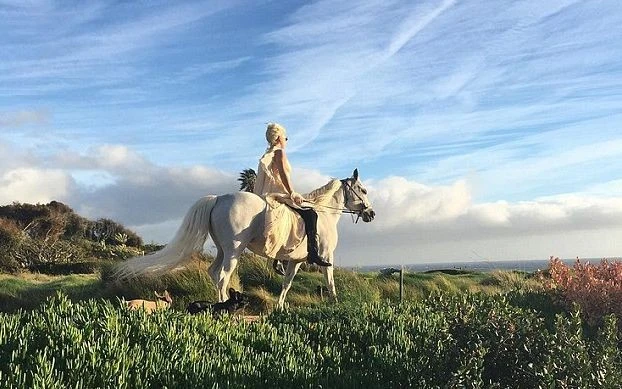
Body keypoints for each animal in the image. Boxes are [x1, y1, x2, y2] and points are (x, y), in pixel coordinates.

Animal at [115, 168, 378, 308]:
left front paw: (280, 306)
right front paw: (336, 303)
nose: (371, 214)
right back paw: (223, 308)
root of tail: (218, 198)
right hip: (234, 250)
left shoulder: (295, 261)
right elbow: (330, 282)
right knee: (223, 276)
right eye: (363, 190)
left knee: (214, 273)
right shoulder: (325, 257)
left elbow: (287, 283)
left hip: (223, 249)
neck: (324, 213)